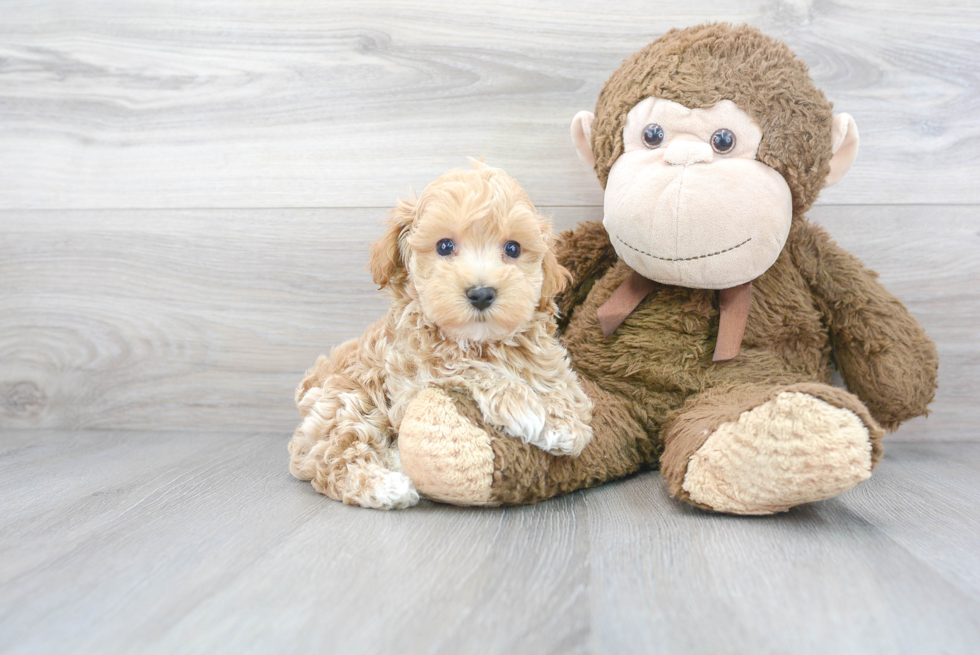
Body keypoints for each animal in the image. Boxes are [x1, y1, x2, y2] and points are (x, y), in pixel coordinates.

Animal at [288, 161, 592, 510]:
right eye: (444, 246)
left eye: (513, 248)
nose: (481, 293)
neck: (481, 342)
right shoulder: (414, 376)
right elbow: (470, 368)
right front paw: (529, 410)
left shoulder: (547, 358)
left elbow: (562, 384)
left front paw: (564, 422)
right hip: (348, 403)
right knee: (333, 460)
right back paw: (386, 486)